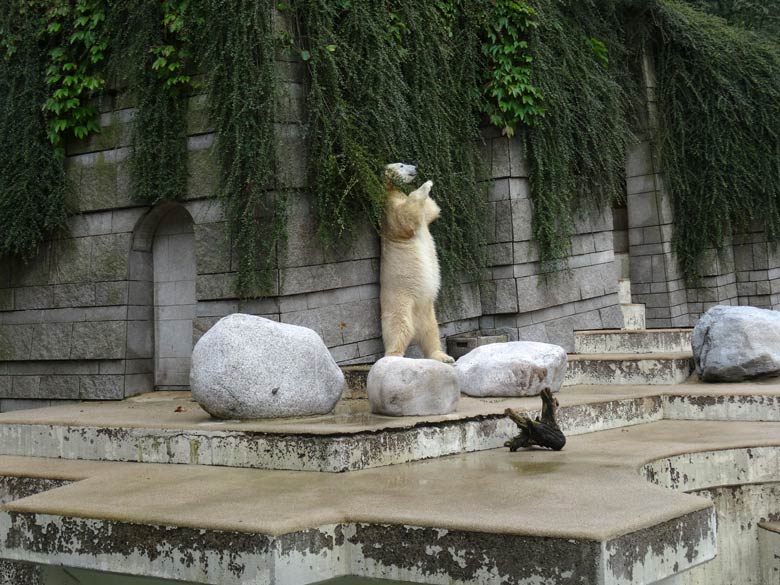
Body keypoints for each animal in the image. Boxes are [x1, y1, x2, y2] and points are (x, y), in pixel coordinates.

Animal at [380, 162, 454, 362]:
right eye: (401, 164)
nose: (414, 167)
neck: (392, 190)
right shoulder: (389, 210)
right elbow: (405, 217)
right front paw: (426, 184)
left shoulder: (423, 216)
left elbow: (431, 210)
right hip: (400, 301)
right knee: (398, 327)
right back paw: (394, 355)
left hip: (427, 311)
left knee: (431, 333)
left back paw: (443, 356)